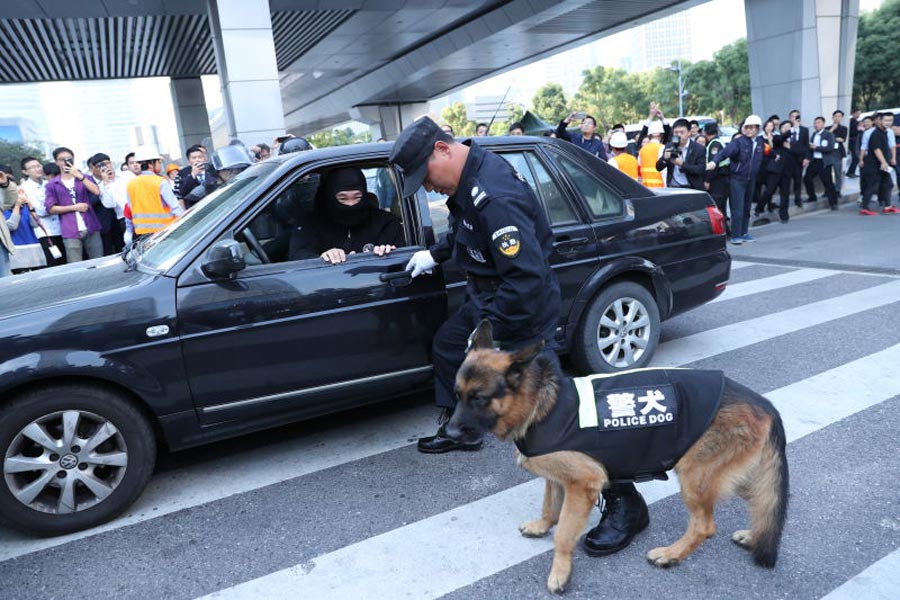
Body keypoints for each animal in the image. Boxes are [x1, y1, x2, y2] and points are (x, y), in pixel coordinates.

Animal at [446, 322, 792, 592]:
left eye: (479, 398)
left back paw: (671, 554)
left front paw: (560, 573)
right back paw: (753, 535)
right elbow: (550, 507)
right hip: (736, 476)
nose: (448, 433)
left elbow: (564, 534)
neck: (539, 403)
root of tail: (765, 404)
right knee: (765, 500)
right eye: (457, 395)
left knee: (704, 527)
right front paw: (541, 525)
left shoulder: (583, 484)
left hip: (695, 479)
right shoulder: (559, 478)